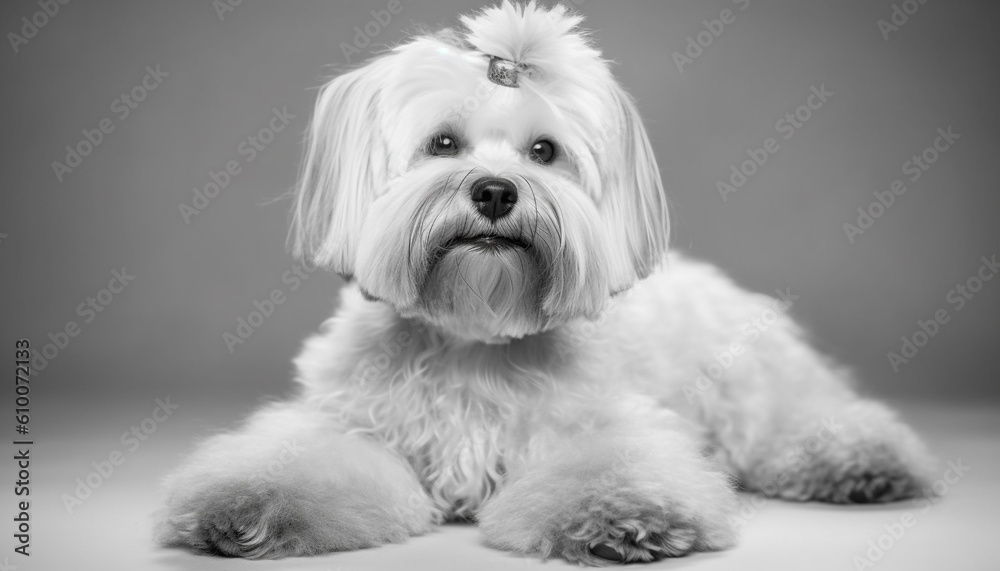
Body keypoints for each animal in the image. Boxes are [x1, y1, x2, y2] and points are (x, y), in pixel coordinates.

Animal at [158, 3, 936, 568]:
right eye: (443, 143)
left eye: (544, 151)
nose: (498, 191)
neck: (472, 335)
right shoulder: (347, 422)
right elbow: (294, 467)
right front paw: (243, 508)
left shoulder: (600, 426)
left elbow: (610, 470)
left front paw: (626, 517)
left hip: (754, 387)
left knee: (805, 421)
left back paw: (862, 463)